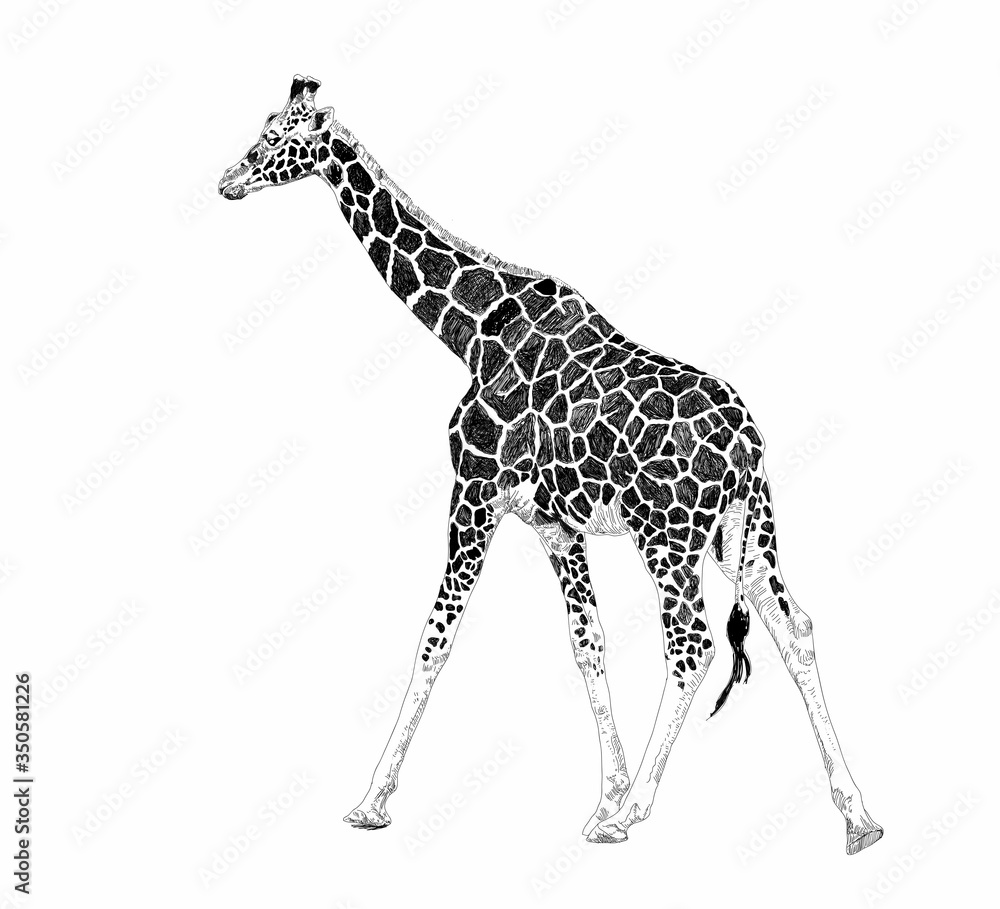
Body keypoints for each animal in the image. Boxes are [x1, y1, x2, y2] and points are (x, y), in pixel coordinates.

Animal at [219, 75, 883, 854]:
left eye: (276, 136)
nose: (227, 181)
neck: (472, 330)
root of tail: (748, 442)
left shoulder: (474, 490)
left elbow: (434, 638)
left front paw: (372, 800)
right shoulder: (555, 527)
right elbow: (588, 643)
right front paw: (603, 797)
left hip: (669, 536)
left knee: (692, 647)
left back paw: (639, 814)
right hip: (744, 533)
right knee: (794, 626)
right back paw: (858, 819)